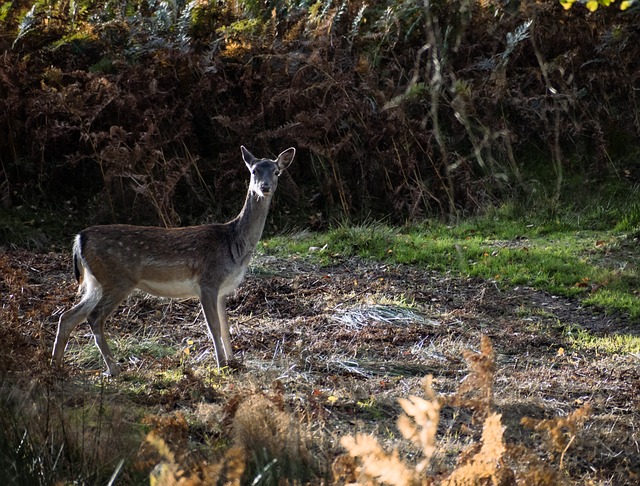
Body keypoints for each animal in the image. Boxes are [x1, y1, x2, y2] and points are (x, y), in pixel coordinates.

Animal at [51, 145, 296, 376]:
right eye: (254, 171)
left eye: (276, 172)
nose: (264, 187)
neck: (233, 245)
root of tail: (80, 238)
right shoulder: (208, 281)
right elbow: (214, 327)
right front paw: (221, 366)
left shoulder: (223, 289)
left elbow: (226, 327)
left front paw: (234, 363)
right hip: (117, 279)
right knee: (93, 317)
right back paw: (113, 369)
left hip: (95, 282)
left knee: (68, 317)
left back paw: (55, 366)